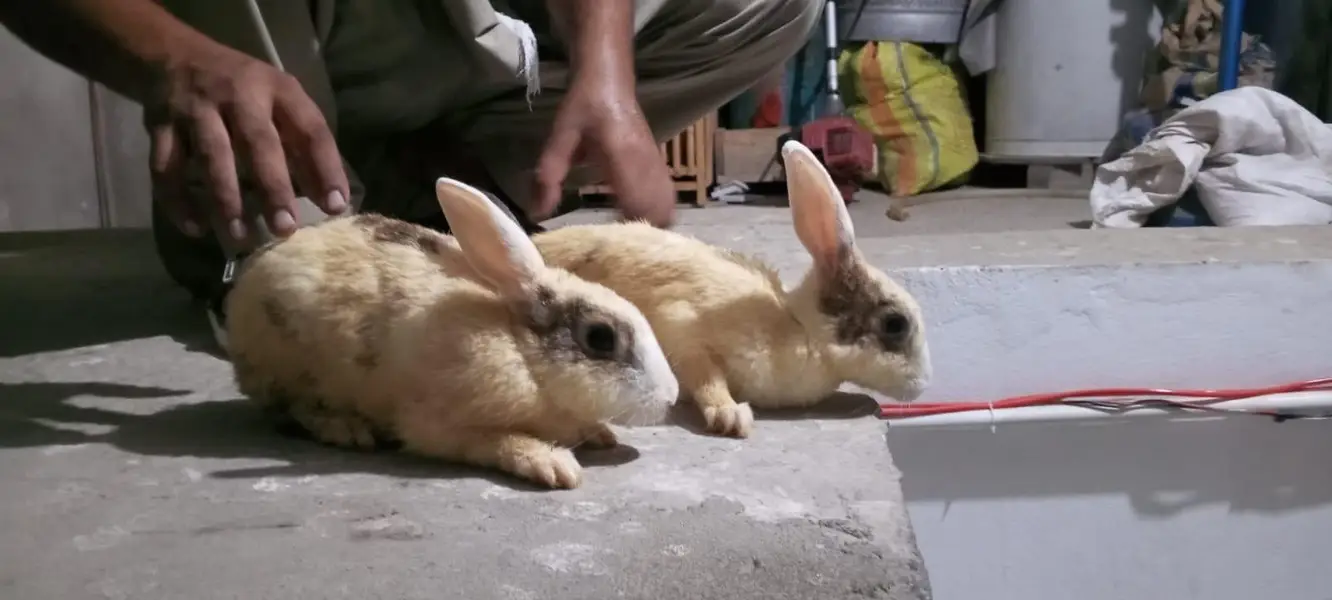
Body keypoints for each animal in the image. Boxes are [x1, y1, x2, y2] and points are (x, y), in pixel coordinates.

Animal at [223, 177, 680, 489]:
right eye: (601, 338)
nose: (672, 397)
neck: (523, 354)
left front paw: (601, 435)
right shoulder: (441, 426)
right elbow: (495, 443)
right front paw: (554, 465)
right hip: (285, 367)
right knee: (292, 409)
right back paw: (345, 429)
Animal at [532, 140, 932, 438]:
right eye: (895, 324)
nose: (922, 385)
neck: (801, 330)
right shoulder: (682, 328)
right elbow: (706, 376)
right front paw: (731, 416)